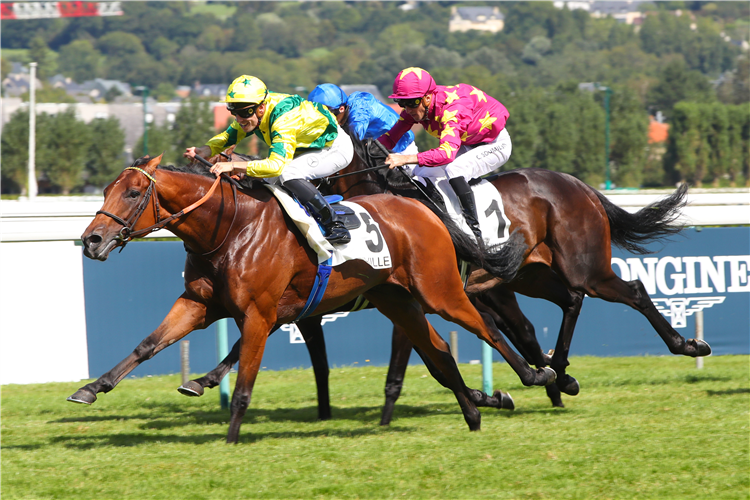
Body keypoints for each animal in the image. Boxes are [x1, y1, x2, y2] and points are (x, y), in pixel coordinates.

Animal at [72, 154, 552, 444]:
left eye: (133, 193)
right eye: (105, 190)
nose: (91, 240)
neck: (231, 228)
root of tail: (423, 209)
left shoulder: (260, 313)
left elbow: (244, 383)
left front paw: (230, 437)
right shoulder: (198, 304)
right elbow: (147, 345)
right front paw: (91, 388)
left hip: (440, 292)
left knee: (488, 329)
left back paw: (537, 375)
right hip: (397, 301)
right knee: (441, 355)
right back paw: (474, 414)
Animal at [187, 138, 712, 422]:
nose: (261, 178)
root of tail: (580, 185)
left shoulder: (413, 295)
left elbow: (406, 367)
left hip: (582, 265)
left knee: (629, 291)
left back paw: (685, 345)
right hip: (527, 274)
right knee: (564, 305)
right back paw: (559, 374)